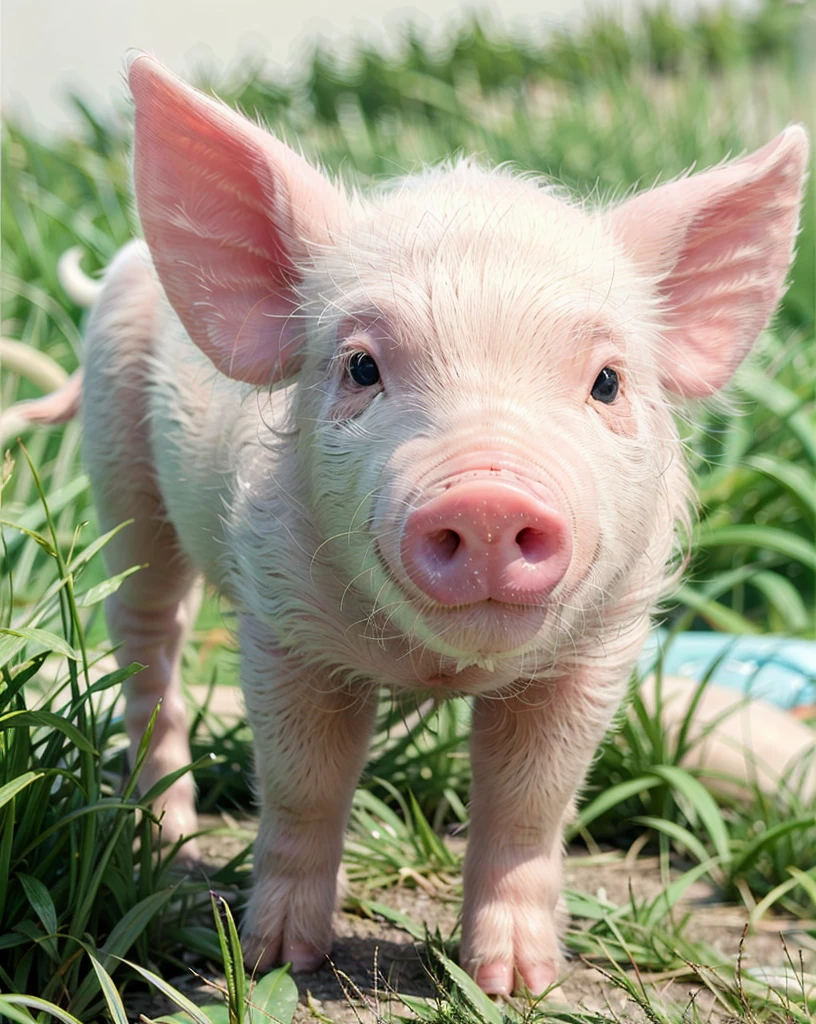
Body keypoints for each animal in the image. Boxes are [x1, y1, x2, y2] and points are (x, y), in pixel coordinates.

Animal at [15, 56, 806, 991]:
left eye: (608, 381)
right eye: (361, 367)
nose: (489, 499)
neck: (437, 670)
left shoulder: (600, 645)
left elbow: (531, 804)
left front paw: (518, 985)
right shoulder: (283, 618)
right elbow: (304, 785)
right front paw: (281, 961)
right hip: (117, 460)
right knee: (148, 642)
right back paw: (165, 837)